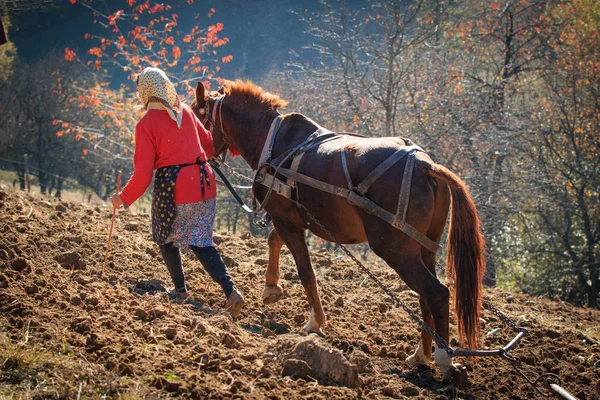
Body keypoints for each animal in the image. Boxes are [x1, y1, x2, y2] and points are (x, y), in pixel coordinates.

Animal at [195, 79, 486, 382]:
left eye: (195, 115)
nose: (200, 159)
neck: (272, 141)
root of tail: (427, 166)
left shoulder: (286, 220)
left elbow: (306, 272)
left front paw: (314, 322)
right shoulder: (289, 219)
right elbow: (274, 241)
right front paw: (271, 289)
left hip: (395, 249)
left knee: (437, 294)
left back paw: (444, 359)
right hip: (424, 249)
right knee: (425, 297)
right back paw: (420, 355)